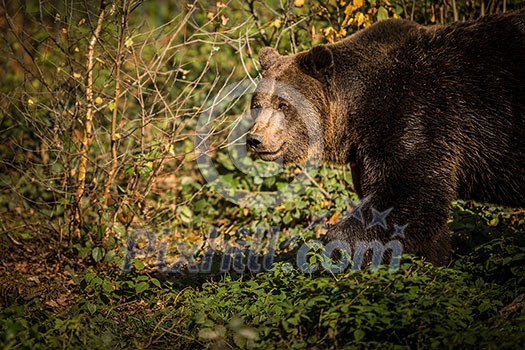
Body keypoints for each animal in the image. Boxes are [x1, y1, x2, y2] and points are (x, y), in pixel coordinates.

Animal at [246, 9, 524, 264]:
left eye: (282, 104)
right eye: (257, 104)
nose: (255, 139)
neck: (355, 109)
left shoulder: (416, 114)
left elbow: (406, 195)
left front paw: (329, 249)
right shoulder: (365, 152)